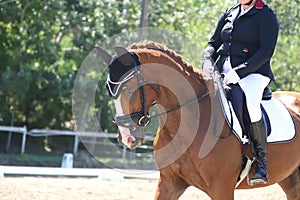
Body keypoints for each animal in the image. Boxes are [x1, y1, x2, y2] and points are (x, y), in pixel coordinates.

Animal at [96, 41, 300, 199]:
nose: (127, 137)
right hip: (290, 180)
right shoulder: (169, 182)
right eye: (109, 92)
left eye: (130, 89)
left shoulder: (221, 188)